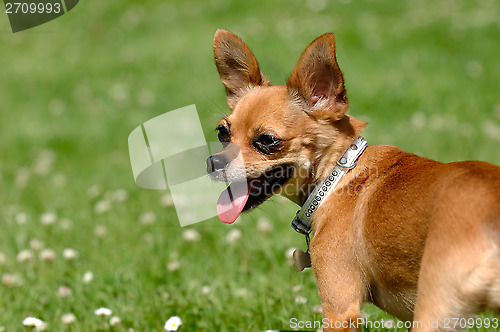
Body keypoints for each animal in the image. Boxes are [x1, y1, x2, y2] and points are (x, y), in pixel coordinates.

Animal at [206, 29, 500, 330]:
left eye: (267, 140)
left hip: (434, 310)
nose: (214, 162)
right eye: (222, 133)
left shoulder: (340, 310)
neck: (337, 175)